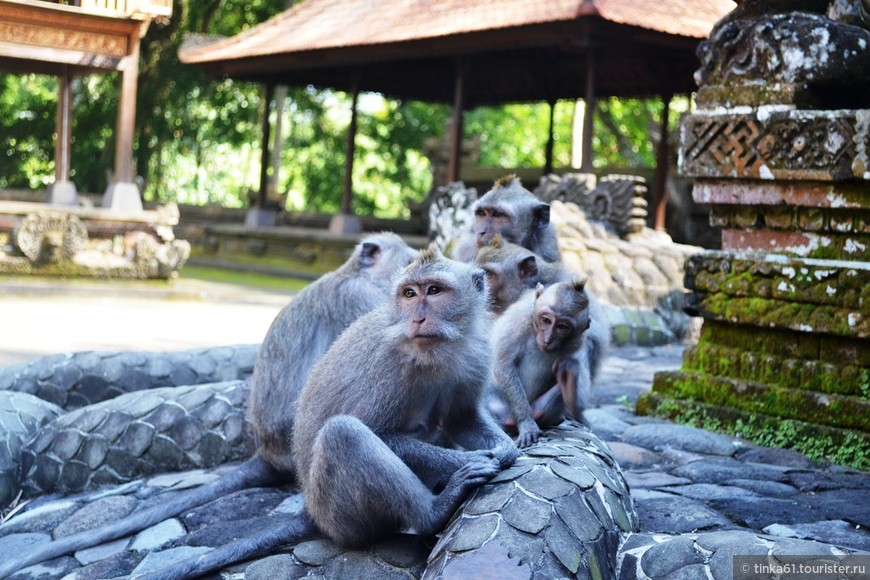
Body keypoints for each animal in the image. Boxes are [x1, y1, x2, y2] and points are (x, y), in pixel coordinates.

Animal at [488, 280, 608, 448]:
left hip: (540, 407)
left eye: (562, 327)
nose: (548, 339)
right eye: (546, 320)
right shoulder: (518, 320)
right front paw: (527, 424)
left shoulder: (578, 341)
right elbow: (504, 365)